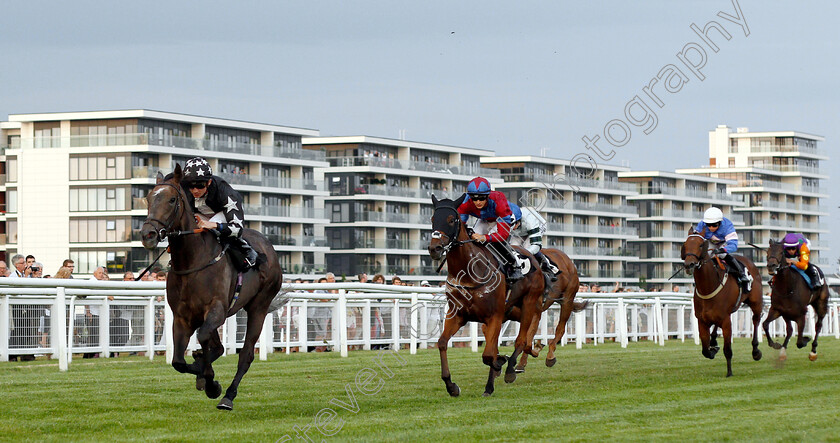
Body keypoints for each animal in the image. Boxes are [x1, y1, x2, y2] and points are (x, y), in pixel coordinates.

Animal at [139, 166, 282, 412]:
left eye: (172, 199)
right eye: (149, 198)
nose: (148, 234)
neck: (192, 260)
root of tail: (269, 247)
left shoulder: (216, 309)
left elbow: (204, 339)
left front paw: (212, 383)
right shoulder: (182, 317)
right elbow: (178, 361)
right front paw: (203, 373)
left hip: (259, 307)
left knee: (245, 355)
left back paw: (228, 396)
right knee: (216, 347)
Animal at [426, 196, 544, 398]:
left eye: (451, 219)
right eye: (433, 218)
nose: (435, 248)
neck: (469, 272)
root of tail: (532, 257)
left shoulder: (493, 316)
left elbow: (489, 355)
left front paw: (498, 370)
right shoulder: (457, 315)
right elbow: (442, 343)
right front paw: (451, 386)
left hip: (529, 304)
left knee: (521, 339)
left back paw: (510, 370)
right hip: (511, 311)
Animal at [680, 229, 764, 378]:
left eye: (701, 245)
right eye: (686, 244)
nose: (689, 264)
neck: (709, 286)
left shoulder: (726, 320)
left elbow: (727, 349)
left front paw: (729, 372)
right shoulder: (701, 320)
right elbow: (705, 350)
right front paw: (712, 349)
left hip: (755, 303)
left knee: (756, 320)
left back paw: (755, 351)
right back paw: (714, 340)